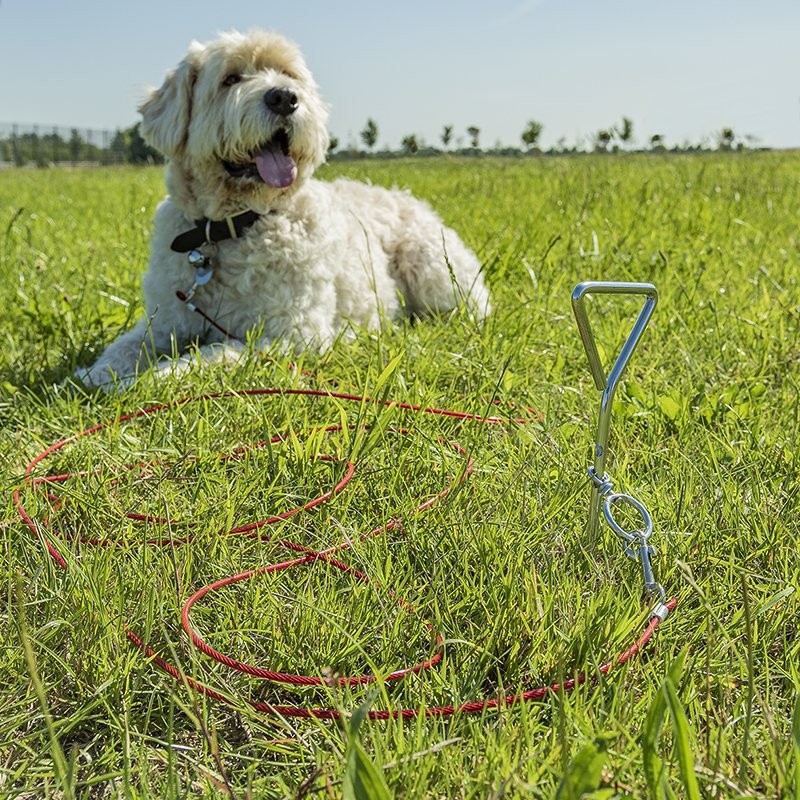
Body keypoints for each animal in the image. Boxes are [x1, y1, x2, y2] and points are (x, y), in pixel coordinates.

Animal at [76, 31, 488, 390]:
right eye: (231, 78)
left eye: (290, 75)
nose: (285, 98)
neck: (230, 228)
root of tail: (410, 198)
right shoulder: (165, 323)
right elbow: (123, 348)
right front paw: (94, 374)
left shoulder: (290, 333)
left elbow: (213, 355)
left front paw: (152, 378)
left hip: (433, 272)